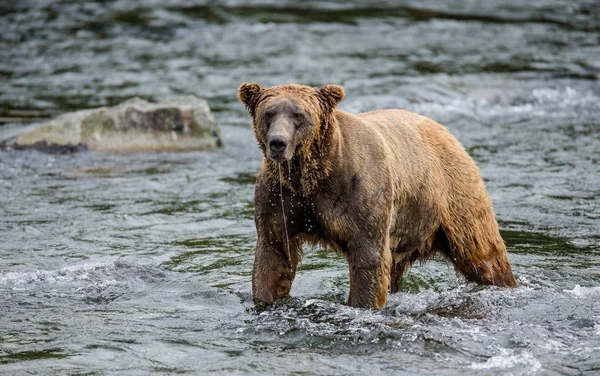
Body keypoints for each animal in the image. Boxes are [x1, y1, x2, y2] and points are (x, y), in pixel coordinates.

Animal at [237, 82, 516, 308]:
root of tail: (445, 131)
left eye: (299, 114)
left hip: (454, 193)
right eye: (268, 113)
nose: (278, 143)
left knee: (482, 252)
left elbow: (368, 260)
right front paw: (266, 298)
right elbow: (273, 254)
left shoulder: (360, 193)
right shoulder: (279, 198)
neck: (312, 175)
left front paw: (361, 304)